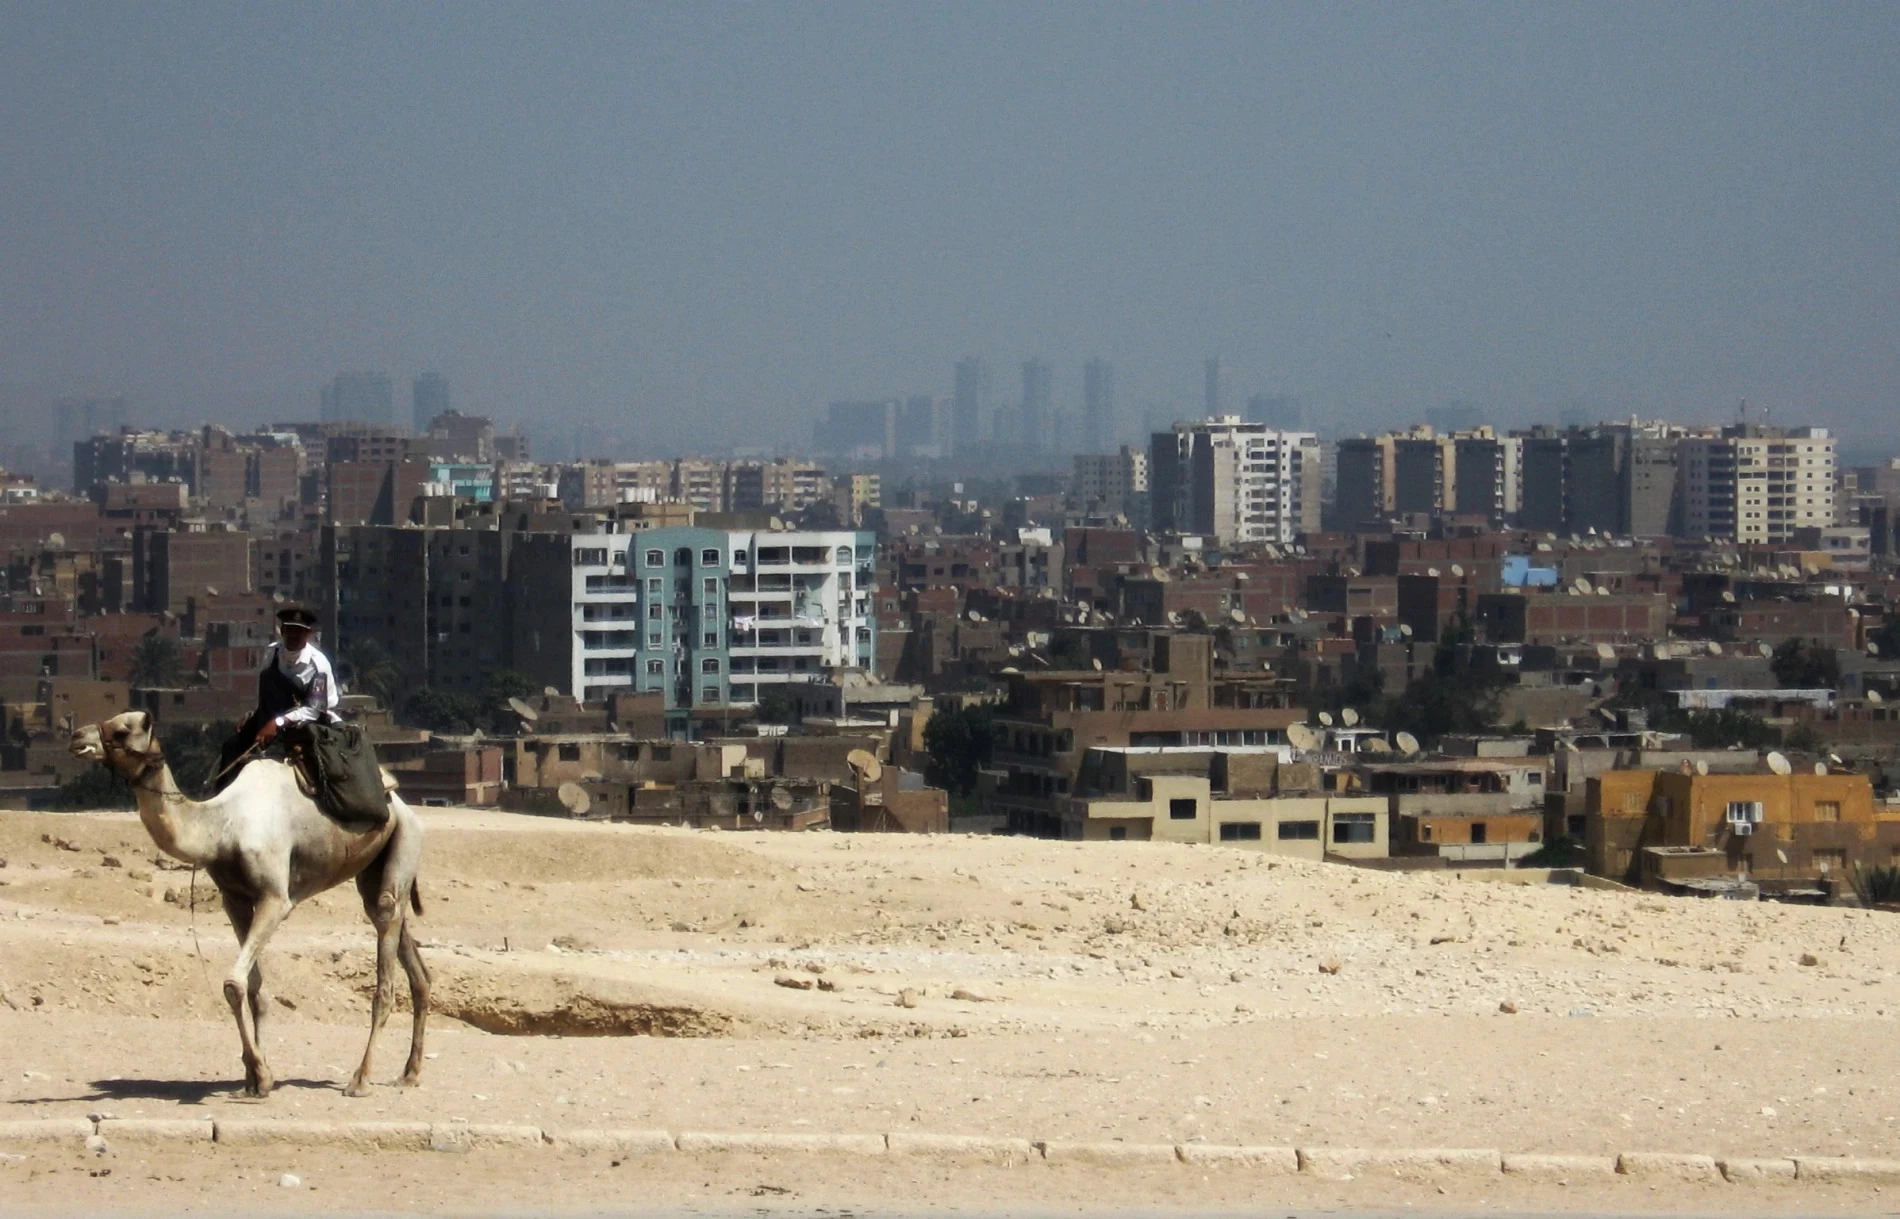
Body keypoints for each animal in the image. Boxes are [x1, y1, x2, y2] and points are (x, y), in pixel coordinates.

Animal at [71, 706, 431, 1093]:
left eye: (123, 730)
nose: (77, 737)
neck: (220, 827)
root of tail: (399, 801)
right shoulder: (236, 900)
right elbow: (254, 988)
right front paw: (255, 1078)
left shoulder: (275, 898)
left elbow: (233, 983)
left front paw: (260, 1071)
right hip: (376, 864)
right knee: (409, 954)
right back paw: (410, 1072)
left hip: (405, 839)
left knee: (385, 957)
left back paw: (360, 1079)